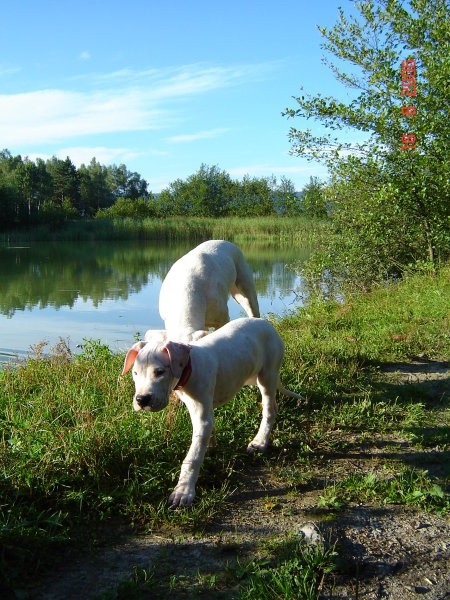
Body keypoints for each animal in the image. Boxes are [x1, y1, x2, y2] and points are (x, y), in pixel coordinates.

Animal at [122, 316, 302, 508]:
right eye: (135, 373)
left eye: (159, 372)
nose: (141, 399)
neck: (189, 367)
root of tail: (264, 322)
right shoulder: (202, 412)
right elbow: (205, 436)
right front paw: (209, 447)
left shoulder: (202, 417)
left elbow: (192, 457)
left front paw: (183, 491)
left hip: (267, 375)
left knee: (270, 410)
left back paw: (260, 442)